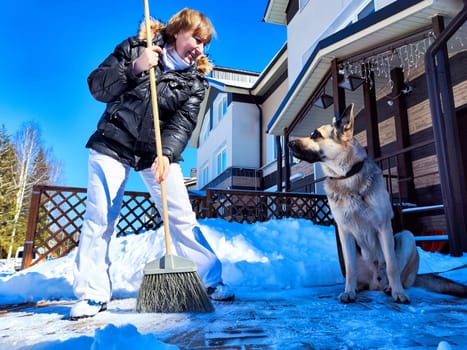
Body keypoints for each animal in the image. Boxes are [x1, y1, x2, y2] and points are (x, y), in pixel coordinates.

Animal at [288, 102, 467, 302]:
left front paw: (398, 293)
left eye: (316, 135)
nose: (288, 143)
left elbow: (392, 266)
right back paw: (358, 288)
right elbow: (350, 269)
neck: (347, 176)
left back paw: (391, 288)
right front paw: (349, 291)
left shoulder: (383, 227)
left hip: (406, 237)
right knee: (356, 275)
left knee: (397, 270)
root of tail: (375, 283)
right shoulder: (345, 233)